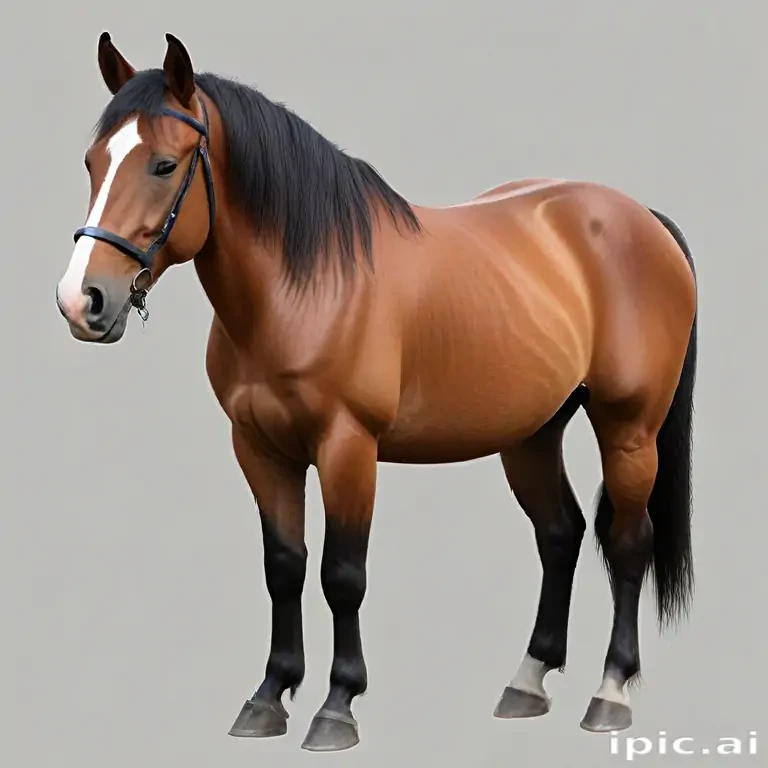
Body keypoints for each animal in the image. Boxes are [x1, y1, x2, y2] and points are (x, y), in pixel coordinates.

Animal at [55, 32, 698, 753]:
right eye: (92, 162)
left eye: (164, 165)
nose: (82, 300)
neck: (307, 285)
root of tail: (640, 217)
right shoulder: (259, 449)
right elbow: (285, 566)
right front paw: (269, 696)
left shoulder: (348, 448)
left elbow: (342, 575)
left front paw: (337, 705)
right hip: (532, 434)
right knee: (560, 533)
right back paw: (527, 683)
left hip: (629, 429)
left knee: (628, 542)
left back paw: (610, 691)